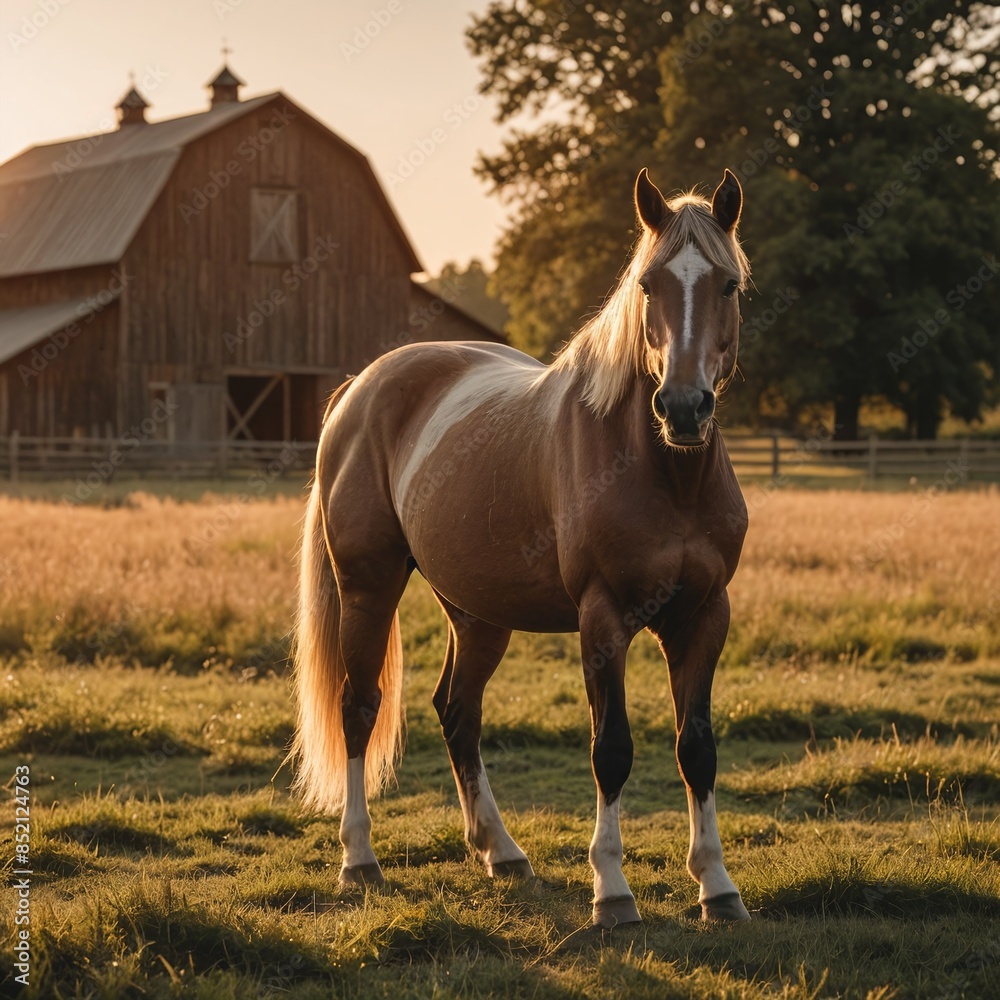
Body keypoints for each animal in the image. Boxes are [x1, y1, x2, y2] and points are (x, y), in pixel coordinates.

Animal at [292, 167, 752, 927]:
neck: (663, 472)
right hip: (368, 586)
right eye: (648, 283)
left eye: (728, 285)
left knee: (458, 712)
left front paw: (716, 885)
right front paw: (612, 890)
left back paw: (500, 850)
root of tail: (359, 389)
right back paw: (359, 860)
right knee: (359, 708)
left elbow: (698, 749)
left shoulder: (704, 616)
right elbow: (611, 750)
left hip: (478, 613)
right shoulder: (602, 619)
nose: (684, 408)